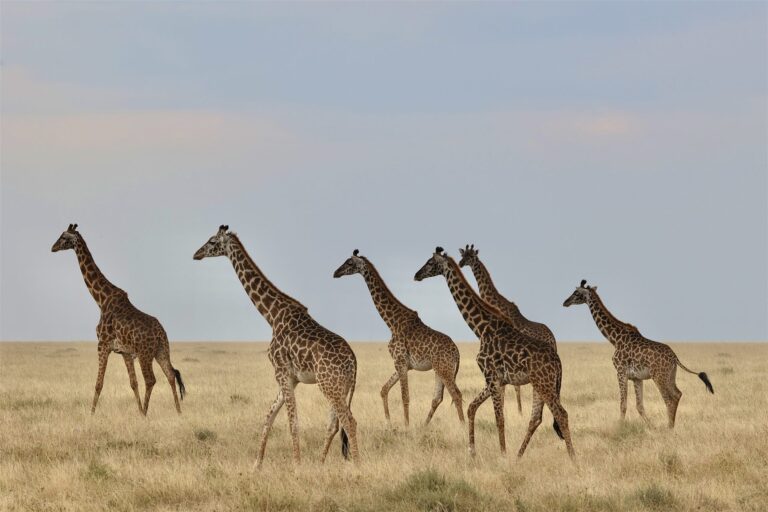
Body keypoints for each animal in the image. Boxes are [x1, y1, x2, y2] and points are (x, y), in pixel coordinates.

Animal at [51, 224, 185, 416]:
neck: (101, 299)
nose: (52, 247)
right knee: (170, 374)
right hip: (162, 350)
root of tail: (161, 333)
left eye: (63, 237)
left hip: (145, 353)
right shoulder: (125, 352)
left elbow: (99, 384)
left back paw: (146, 412)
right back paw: (178, 412)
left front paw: (91, 414)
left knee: (151, 379)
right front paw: (138, 412)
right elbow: (133, 383)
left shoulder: (103, 345)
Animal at [194, 225, 359, 467]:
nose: (196, 254)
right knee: (334, 424)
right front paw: (257, 465)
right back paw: (321, 464)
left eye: (212, 241)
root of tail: (354, 363)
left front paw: (297, 466)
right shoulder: (289, 377)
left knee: (349, 421)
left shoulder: (281, 372)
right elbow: (268, 417)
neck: (272, 315)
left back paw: (357, 464)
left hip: (329, 385)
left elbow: (292, 423)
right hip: (339, 387)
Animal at [334, 249, 464, 426]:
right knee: (438, 398)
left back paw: (463, 426)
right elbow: (384, 389)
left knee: (456, 395)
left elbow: (404, 397)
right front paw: (389, 422)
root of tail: (457, 352)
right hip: (439, 370)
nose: (336, 273)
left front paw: (406, 426)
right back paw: (424, 426)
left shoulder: (401, 361)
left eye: (349, 262)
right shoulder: (401, 364)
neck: (392, 323)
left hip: (445, 369)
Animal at [458, 244, 556, 415]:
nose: (460, 263)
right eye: (463, 255)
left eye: (470, 257)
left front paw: (517, 411)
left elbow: (510, 386)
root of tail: (553, 337)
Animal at [563, 279, 714, 428]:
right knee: (677, 394)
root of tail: (675, 357)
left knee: (669, 399)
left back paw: (669, 427)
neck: (614, 339)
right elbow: (639, 406)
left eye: (576, 292)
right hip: (670, 375)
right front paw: (651, 426)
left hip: (659, 376)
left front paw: (620, 427)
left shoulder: (621, 372)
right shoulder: (636, 377)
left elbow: (623, 405)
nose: (565, 302)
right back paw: (671, 426)